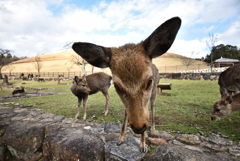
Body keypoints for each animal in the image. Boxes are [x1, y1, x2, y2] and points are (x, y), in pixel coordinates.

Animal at [72, 17, 181, 153]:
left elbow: (146, 114)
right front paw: (120, 139)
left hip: (155, 92)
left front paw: (143, 145)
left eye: (149, 80)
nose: (138, 128)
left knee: (152, 107)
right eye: (116, 86)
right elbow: (126, 114)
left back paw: (153, 129)